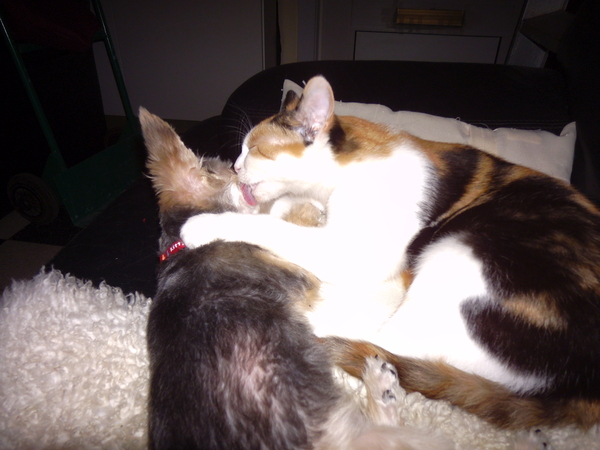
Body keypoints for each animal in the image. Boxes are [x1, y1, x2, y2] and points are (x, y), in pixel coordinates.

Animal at [140, 108, 452, 449]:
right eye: (230, 171)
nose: (237, 168)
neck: (179, 249)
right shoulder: (299, 274)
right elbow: (284, 223)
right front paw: (306, 206)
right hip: (362, 436)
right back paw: (380, 387)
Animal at [180, 76, 600, 431]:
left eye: (253, 149)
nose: (235, 167)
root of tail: (583, 388)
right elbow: (284, 208)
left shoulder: (351, 251)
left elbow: (273, 227)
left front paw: (205, 223)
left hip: (460, 255)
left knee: (375, 338)